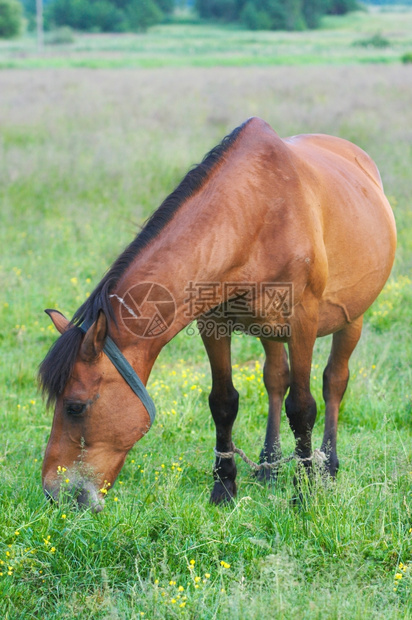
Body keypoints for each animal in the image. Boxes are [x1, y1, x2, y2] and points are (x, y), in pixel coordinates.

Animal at [38, 118, 396, 512]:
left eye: (75, 407)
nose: (53, 493)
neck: (254, 215)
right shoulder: (212, 323)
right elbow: (223, 402)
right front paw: (224, 487)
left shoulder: (303, 321)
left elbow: (302, 407)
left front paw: (303, 494)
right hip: (270, 331)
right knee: (275, 378)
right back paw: (269, 466)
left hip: (351, 319)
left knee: (334, 382)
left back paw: (327, 466)